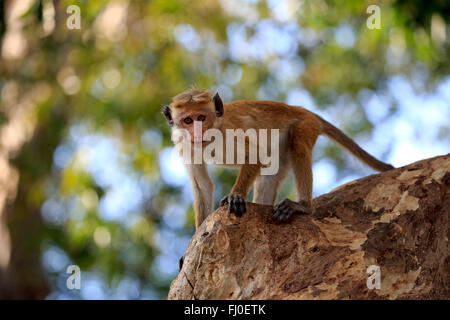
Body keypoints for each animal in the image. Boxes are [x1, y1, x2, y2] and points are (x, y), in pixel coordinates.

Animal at [163, 87, 394, 229]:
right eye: (187, 120)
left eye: (201, 118)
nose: (197, 131)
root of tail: (303, 110)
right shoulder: (184, 145)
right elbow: (202, 184)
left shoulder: (229, 132)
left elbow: (254, 154)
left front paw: (235, 196)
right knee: (269, 176)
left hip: (306, 125)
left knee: (299, 146)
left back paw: (303, 206)